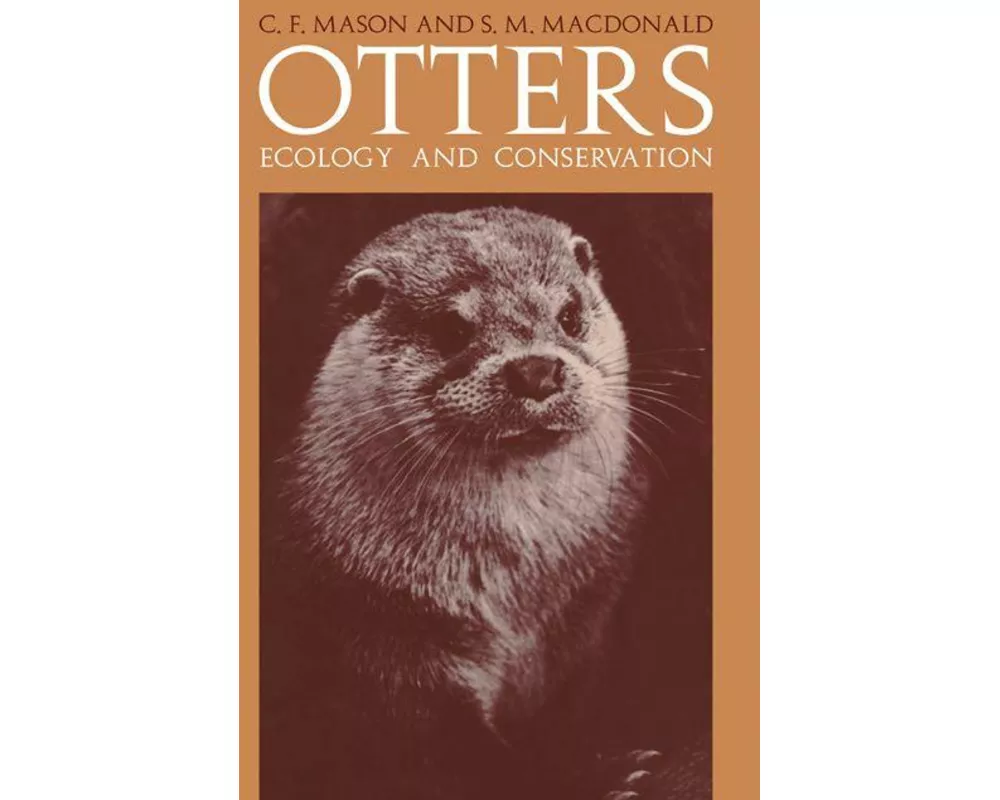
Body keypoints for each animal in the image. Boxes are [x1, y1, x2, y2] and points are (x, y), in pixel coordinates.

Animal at [262, 207, 680, 800]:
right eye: (452, 329)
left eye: (570, 314)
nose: (536, 369)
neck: (519, 596)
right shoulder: (377, 632)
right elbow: (451, 750)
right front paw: (591, 775)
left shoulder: (590, 610)